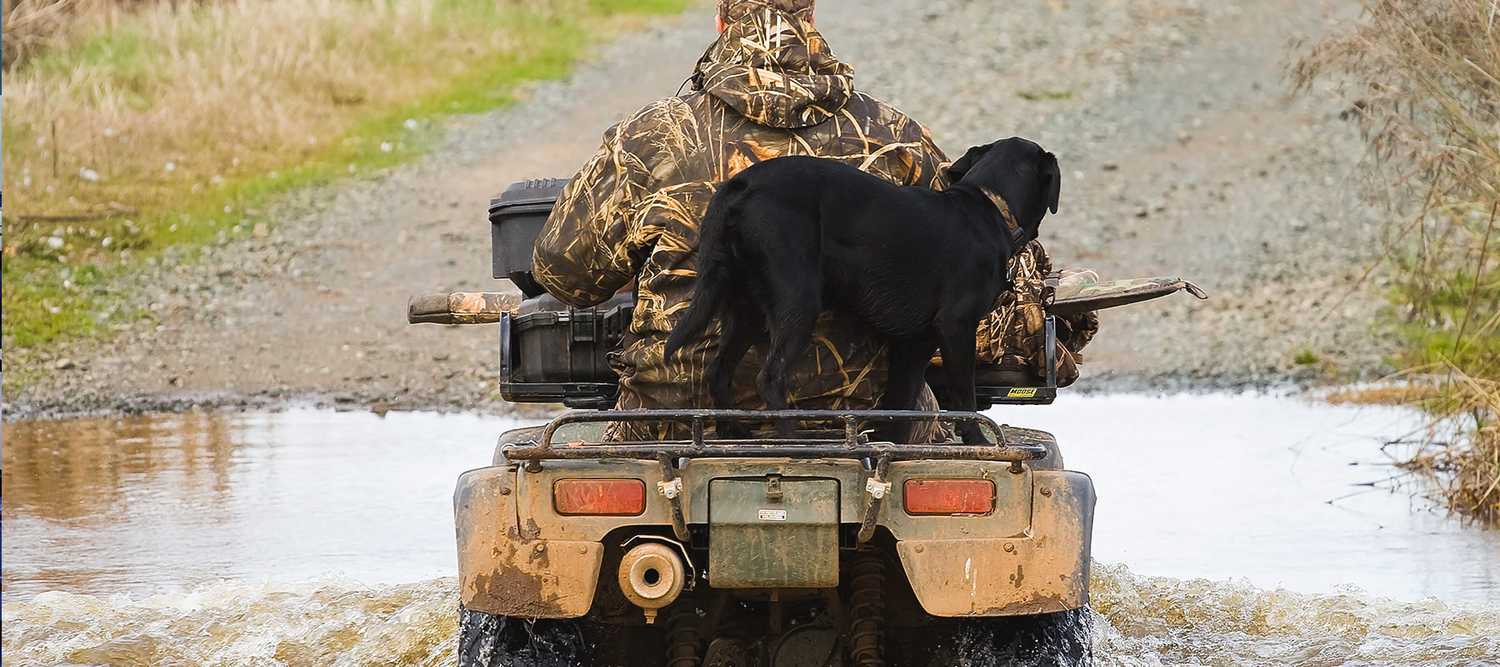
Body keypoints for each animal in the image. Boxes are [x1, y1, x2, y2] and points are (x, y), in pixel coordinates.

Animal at [663, 134, 1062, 440]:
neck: (991, 206)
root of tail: (740, 185)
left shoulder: (913, 344)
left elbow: (899, 404)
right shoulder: (955, 326)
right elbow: (965, 399)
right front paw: (976, 441)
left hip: (744, 305)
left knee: (719, 371)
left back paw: (733, 434)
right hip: (797, 301)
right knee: (770, 376)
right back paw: (792, 440)